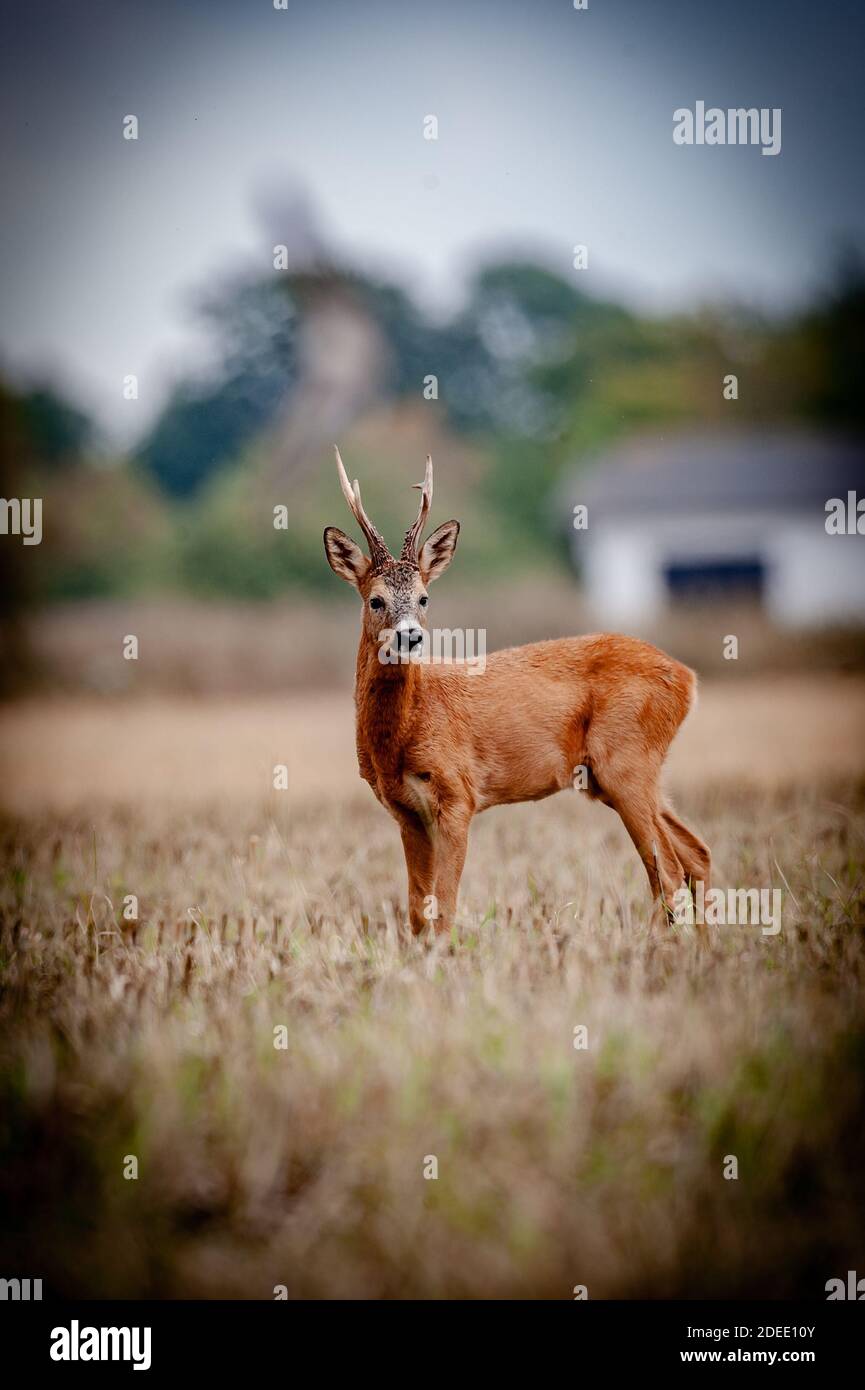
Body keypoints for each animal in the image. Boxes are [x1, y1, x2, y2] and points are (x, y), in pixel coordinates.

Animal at [325, 450, 712, 939]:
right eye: (375, 600)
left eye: (424, 597)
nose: (410, 636)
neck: (403, 731)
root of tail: (687, 678)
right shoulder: (405, 811)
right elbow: (416, 912)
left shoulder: (458, 794)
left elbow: (444, 908)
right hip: (616, 774)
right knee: (694, 853)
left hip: (628, 759)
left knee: (670, 870)